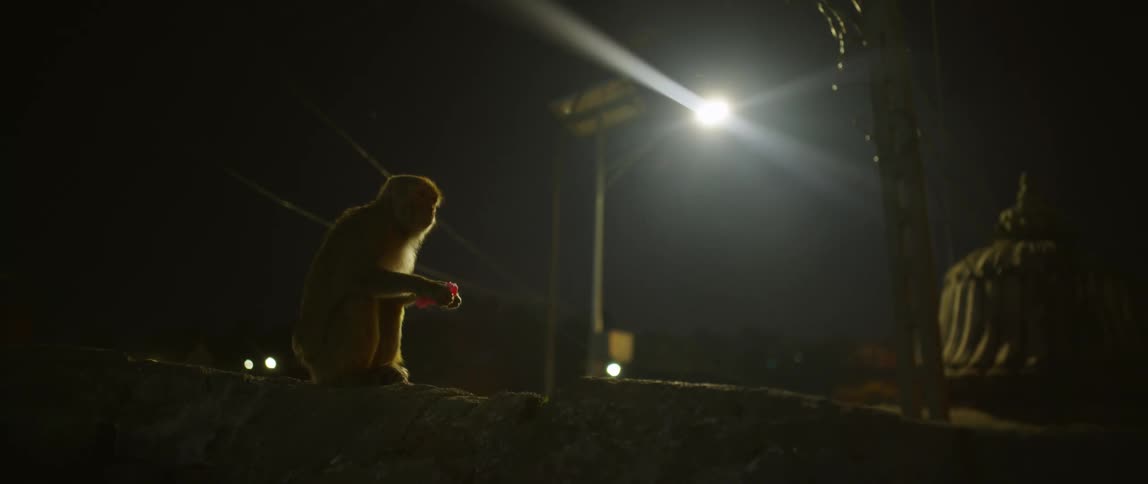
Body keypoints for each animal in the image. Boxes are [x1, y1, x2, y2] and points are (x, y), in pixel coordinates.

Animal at [291, 175, 461, 386]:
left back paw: (384, 369)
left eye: (432, 200)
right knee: (358, 301)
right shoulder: (373, 229)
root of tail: (313, 371)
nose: (431, 210)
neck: (393, 221)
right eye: (421, 195)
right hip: (328, 363)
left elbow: (389, 297)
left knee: (389, 305)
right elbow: (361, 278)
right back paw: (354, 375)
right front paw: (429, 287)